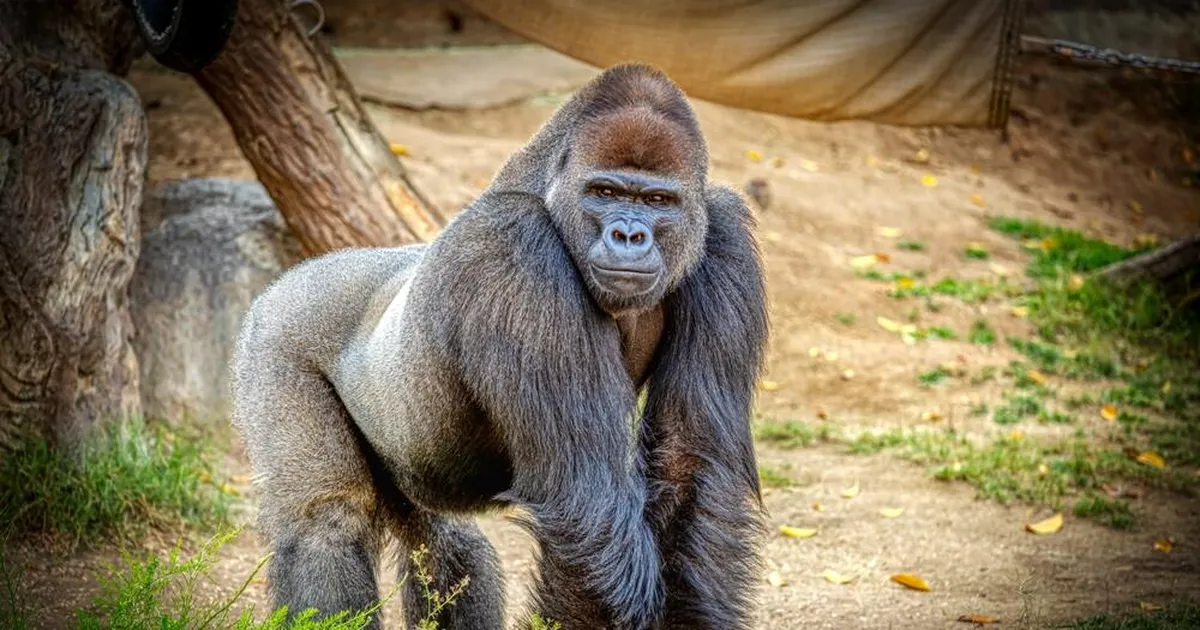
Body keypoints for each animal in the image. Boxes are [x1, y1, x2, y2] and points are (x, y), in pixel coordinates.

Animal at [229, 63, 768, 630]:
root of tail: (301, 272)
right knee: (325, 525)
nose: (628, 235)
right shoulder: (514, 245)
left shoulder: (724, 234)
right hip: (278, 332)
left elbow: (692, 464)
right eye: (604, 192)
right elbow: (586, 503)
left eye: (658, 201)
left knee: (445, 542)